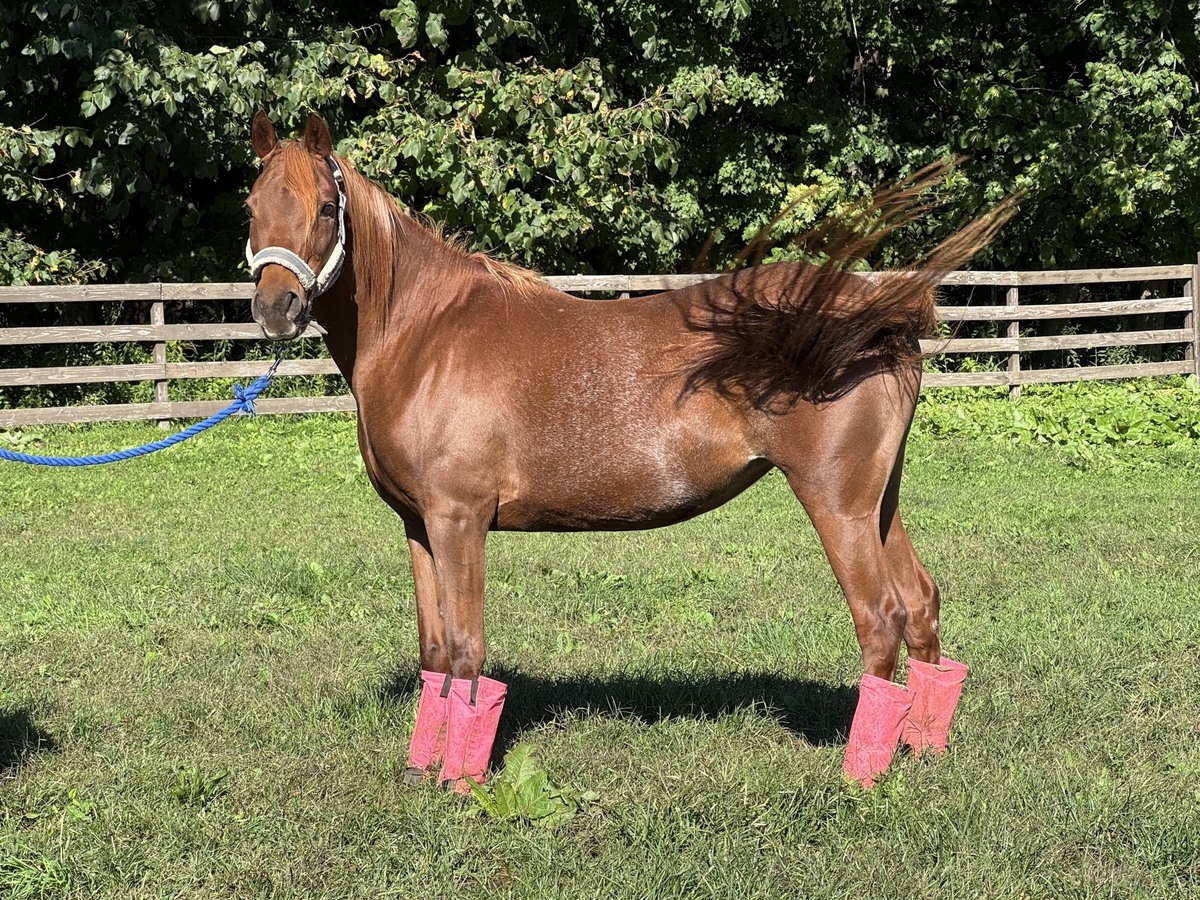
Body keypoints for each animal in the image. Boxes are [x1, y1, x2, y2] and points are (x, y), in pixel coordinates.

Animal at [244, 111, 1009, 791]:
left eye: (324, 208)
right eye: (252, 207)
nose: (277, 310)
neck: (427, 334)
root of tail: (878, 314)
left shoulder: (459, 521)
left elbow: (466, 651)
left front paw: (460, 782)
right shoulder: (418, 525)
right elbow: (434, 649)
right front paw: (418, 770)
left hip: (838, 505)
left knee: (880, 621)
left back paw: (860, 779)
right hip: (880, 503)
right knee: (921, 605)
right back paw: (919, 750)